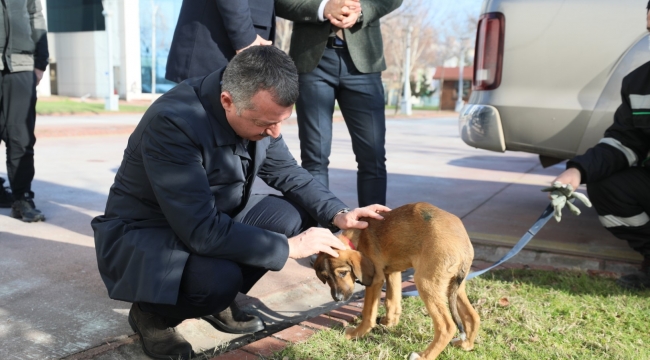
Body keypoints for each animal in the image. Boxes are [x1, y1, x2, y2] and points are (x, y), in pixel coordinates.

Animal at [312, 202, 478, 360]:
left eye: (343, 273)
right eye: (326, 277)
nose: (338, 298)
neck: (358, 237)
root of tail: (464, 243)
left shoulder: (375, 279)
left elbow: (368, 313)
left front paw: (356, 334)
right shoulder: (392, 272)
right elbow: (391, 301)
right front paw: (389, 322)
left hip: (426, 283)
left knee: (447, 326)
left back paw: (424, 356)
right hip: (453, 285)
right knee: (472, 316)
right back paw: (465, 345)